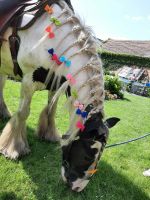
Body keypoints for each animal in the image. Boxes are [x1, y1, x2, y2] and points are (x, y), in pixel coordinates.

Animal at [0, 0, 119, 192]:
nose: (77, 187)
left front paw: (48, 134)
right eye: (89, 155)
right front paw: (14, 147)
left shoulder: (55, 85)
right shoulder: (28, 80)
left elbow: (51, 111)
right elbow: (23, 114)